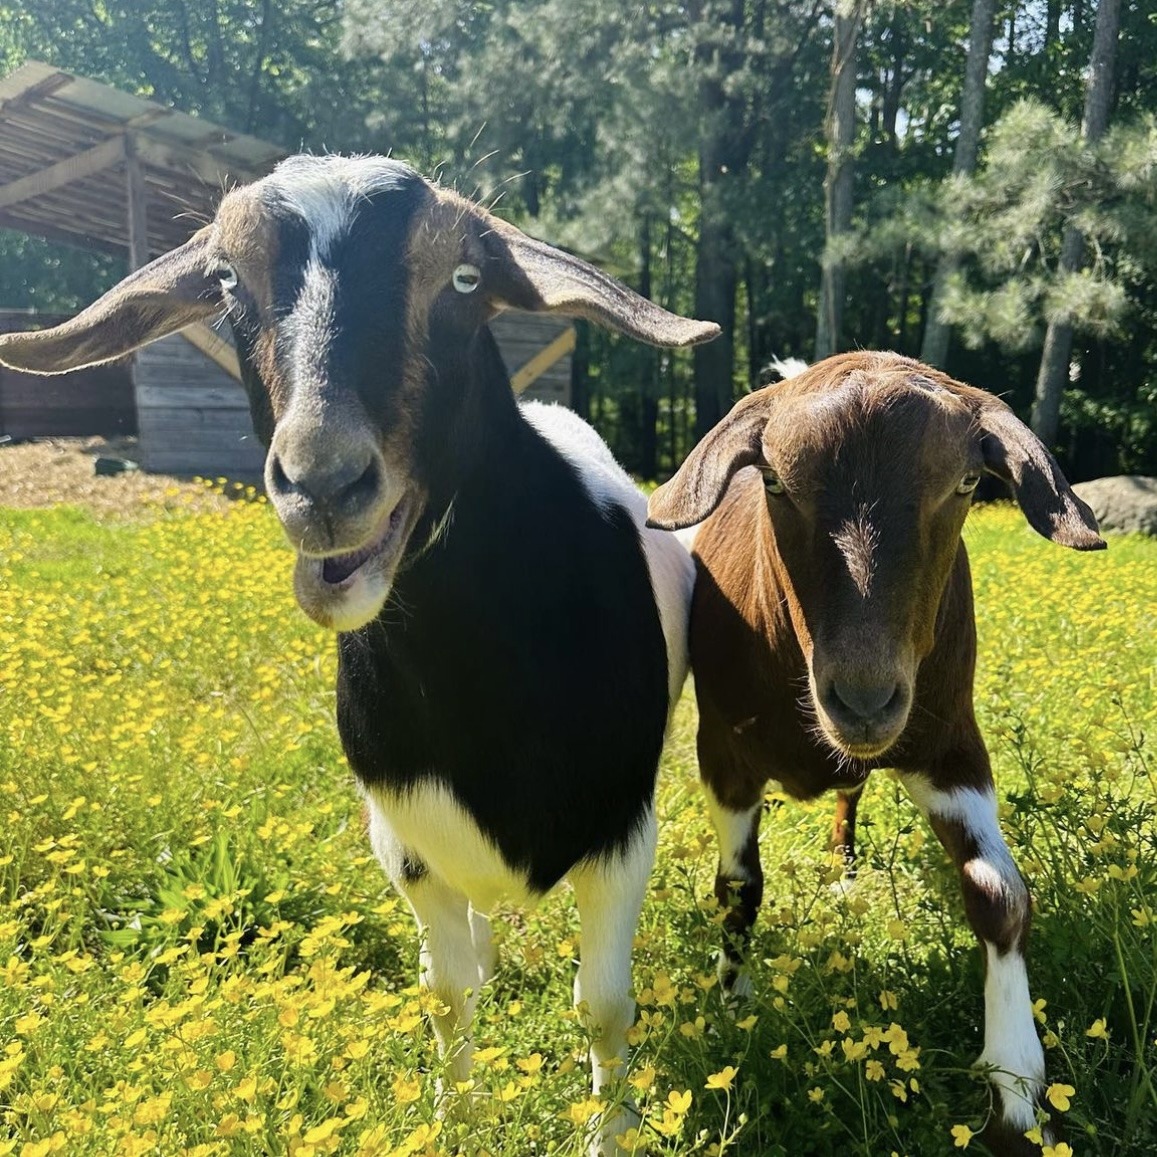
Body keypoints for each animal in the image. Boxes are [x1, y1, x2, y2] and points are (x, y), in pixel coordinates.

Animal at [0, 156, 717, 1157]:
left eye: (464, 280)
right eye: (228, 282)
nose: (324, 484)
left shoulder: (622, 829)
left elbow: (602, 1007)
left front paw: (608, 1135)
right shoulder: (403, 841)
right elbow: (447, 995)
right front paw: (455, 1119)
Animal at [647, 354, 1106, 1157]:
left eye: (965, 482)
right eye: (774, 481)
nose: (863, 698)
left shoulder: (948, 744)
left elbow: (1001, 894)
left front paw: (1018, 1095)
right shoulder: (722, 751)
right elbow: (738, 887)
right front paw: (733, 1004)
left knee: (852, 795)